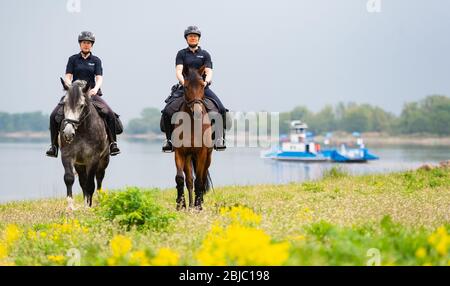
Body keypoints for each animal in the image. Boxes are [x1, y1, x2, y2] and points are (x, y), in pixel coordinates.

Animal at [59, 78, 110, 210]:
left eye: (81, 105)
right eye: (64, 104)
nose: (68, 133)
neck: (82, 130)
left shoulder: (93, 158)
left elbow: (90, 184)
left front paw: (88, 207)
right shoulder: (67, 155)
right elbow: (69, 178)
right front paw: (70, 207)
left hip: (104, 160)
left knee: (99, 178)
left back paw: (98, 200)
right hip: (80, 164)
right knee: (82, 181)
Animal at [173, 66, 214, 211]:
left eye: (202, 85)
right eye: (185, 87)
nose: (197, 112)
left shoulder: (202, 153)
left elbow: (199, 181)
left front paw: (198, 205)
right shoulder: (180, 152)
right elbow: (180, 178)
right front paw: (181, 204)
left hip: (207, 157)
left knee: (202, 178)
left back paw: (197, 203)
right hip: (189, 157)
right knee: (189, 180)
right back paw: (189, 205)